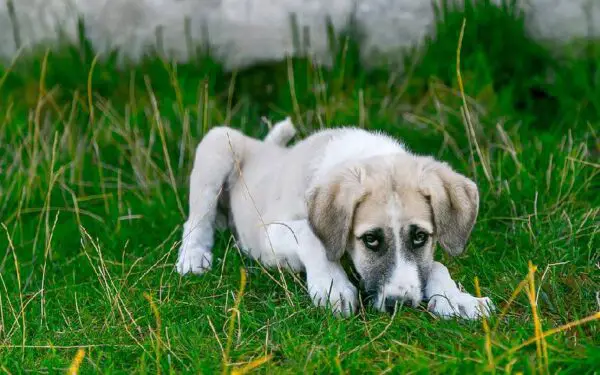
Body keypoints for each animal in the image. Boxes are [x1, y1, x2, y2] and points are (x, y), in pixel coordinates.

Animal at [176, 119, 494, 318]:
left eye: (420, 237)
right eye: (370, 239)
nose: (400, 304)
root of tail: (265, 147)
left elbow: (436, 265)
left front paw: (457, 298)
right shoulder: (269, 234)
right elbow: (310, 236)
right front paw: (332, 286)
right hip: (218, 143)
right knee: (196, 219)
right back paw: (193, 256)